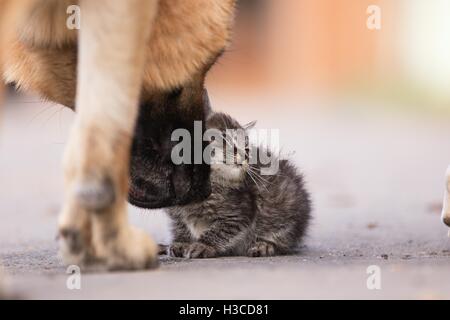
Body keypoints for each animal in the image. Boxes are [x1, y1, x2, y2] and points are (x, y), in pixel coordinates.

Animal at [166, 112, 312, 258]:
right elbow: (181, 227)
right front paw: (182, 242)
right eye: (231, 146)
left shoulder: (238, 213)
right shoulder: (177, 214)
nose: (245, 157)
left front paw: (203, 245)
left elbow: (219, 231)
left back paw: (264, 246)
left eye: (247, 149)